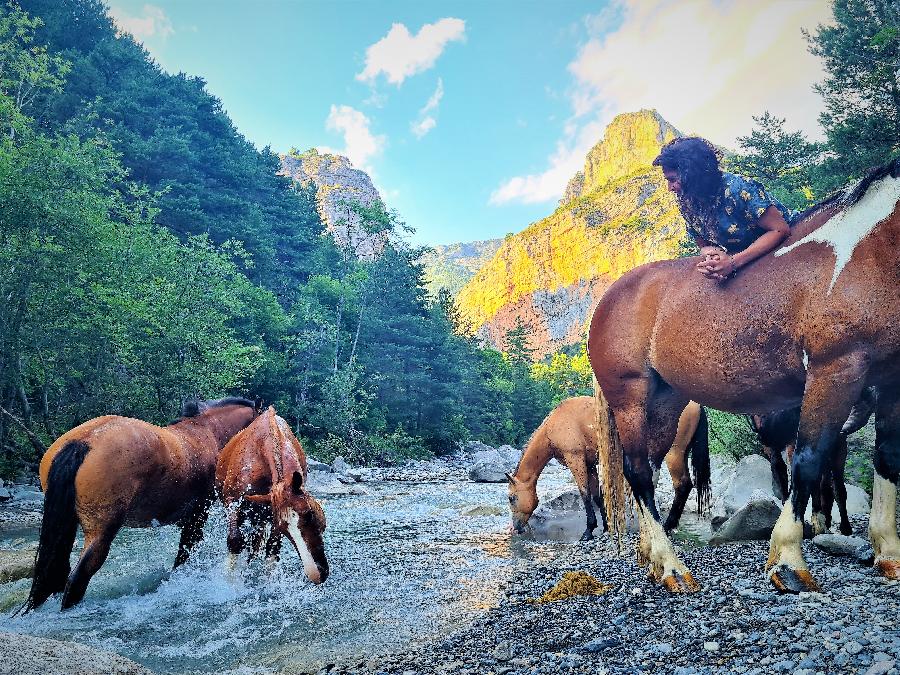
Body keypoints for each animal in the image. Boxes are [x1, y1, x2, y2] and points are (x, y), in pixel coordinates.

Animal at [22, 396, 260, 612]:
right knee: (78, 577)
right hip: (101, 531)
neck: (207, 432)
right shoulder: (198, 513)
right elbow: (184, 554)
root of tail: (82, 442)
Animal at [216, 406, 328, 588]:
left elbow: (271, 550)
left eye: (309, 514)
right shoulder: (232, 502)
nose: (317, 574)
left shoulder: (271, 515)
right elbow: (235, 541)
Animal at [506, 396, 712, 540]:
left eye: (511, 498)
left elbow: (585, 494)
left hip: (673, 454)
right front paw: (605, 527)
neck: (556, 423)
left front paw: (588, 531)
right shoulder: (590, 464)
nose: (515, 528)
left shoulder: (576, 460)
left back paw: (668, 526)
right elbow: (597, 495)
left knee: (682, 485)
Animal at [588, 161, 900, 596]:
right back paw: (671, 567)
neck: (872, 251)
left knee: (647, 469)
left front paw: (889, 553)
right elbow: (808, 461)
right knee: (638, 474)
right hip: (629, 399)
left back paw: (651, 557)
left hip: (665, 403)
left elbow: (885, 458)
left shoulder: (890, 380)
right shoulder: (836, 369)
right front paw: (788, 562)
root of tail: (608, 298)